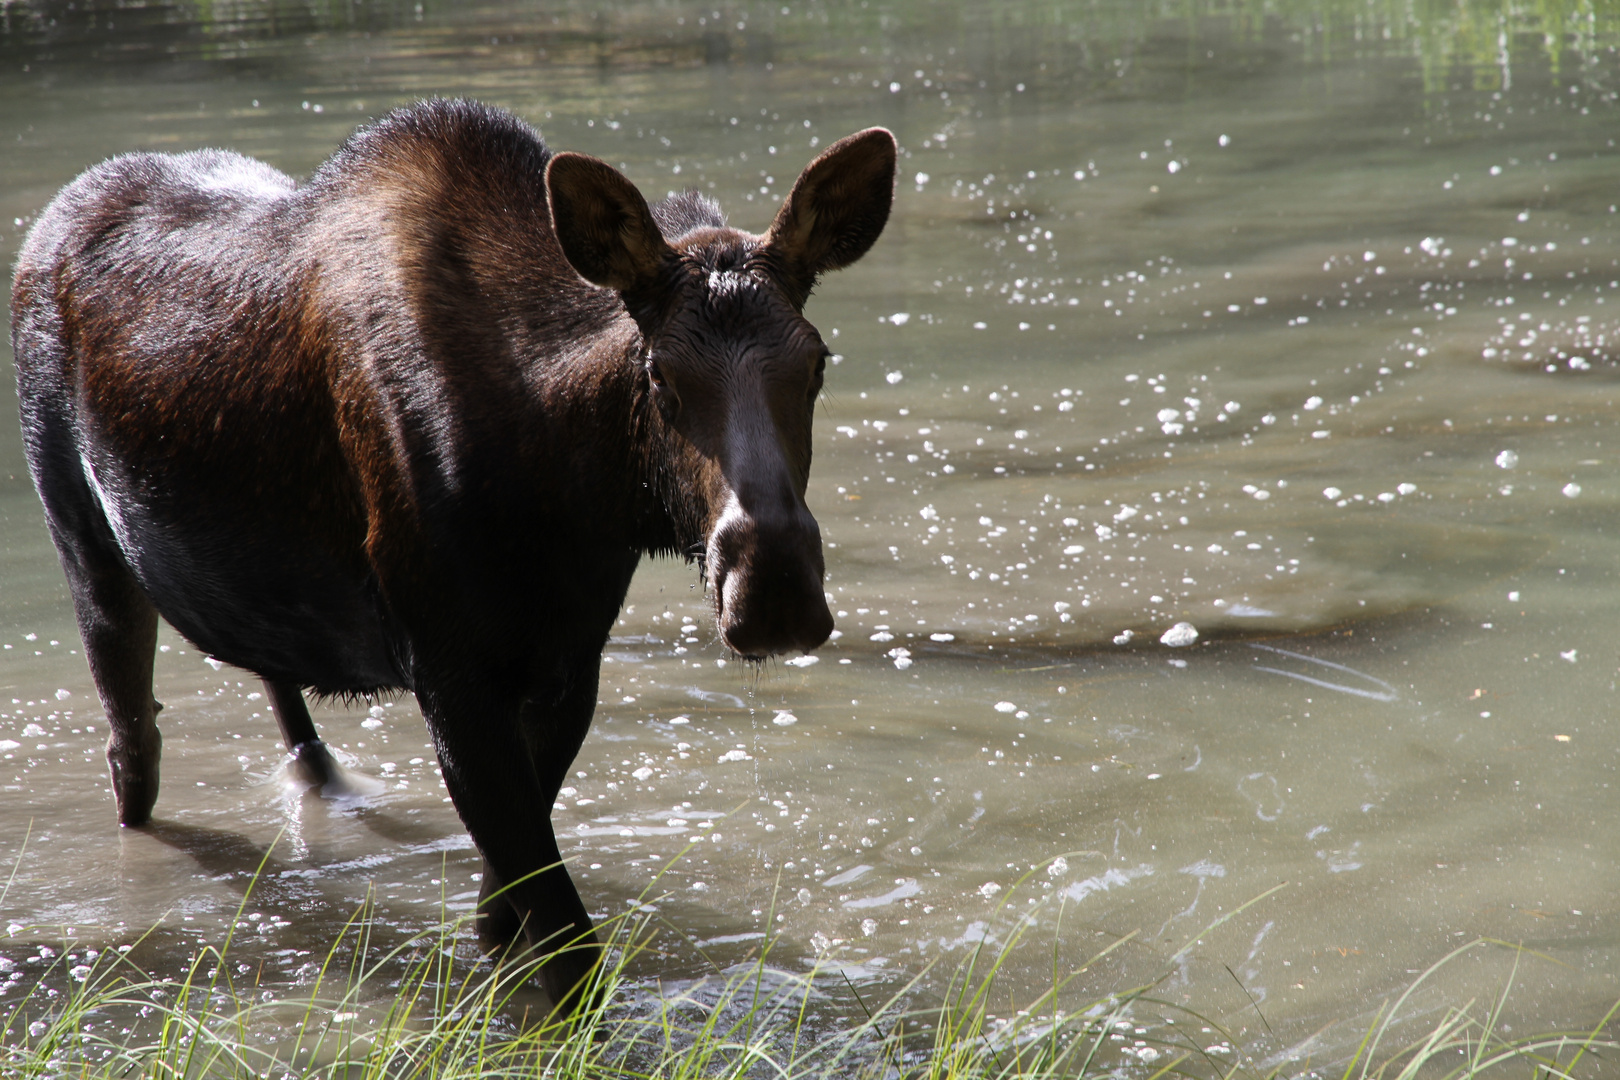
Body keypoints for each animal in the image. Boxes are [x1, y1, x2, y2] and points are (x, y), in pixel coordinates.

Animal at [9, 99, 900, 1003]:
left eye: (816, 360)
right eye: (659, 375)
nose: (775, 587)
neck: (571, 487)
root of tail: (48, 224)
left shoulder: (568, 663)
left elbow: (504, 913)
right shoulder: (450, 671)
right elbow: (569, 953)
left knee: (275, 684)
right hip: (85, 543)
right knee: (133, 749)